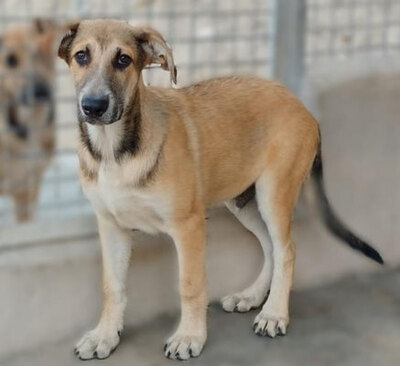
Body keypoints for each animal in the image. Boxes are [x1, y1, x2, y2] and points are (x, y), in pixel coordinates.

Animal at [58, 19, 382, 360]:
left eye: (123, 59)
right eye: (81, 56)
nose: (93, 106)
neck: (115, 152)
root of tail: (302, 106)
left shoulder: (187, 225)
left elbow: (190, 284)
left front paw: (189, 336)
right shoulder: (111, 226)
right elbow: (112, 285)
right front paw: (105, 335)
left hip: (273, 193)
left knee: (287, 250)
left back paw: (274, 314)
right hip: (243, 202)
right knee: (270, 247)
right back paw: (251, 297)